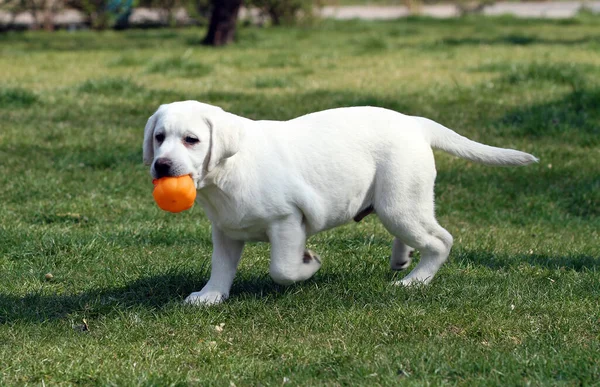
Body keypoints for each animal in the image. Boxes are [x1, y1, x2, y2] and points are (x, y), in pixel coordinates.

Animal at [143, 101, 536, 306]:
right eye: (159, 137)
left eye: (192, 140)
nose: (161, 165)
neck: (226, 172)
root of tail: (415, 123)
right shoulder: (226, 230)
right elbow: (221, 266)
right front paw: (210, 296)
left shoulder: (287, 220)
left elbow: (282, 269)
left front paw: (310, 264)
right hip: (399, 202)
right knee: (420, 234)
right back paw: (402, 259)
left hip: (399, 202)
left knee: (441, 241)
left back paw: (415, 281)